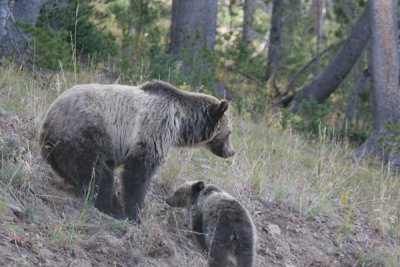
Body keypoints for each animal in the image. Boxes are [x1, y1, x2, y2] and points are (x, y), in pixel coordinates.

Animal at [39, 80, 234, 223]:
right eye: (229, 133)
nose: (231, 152)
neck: (182, 124)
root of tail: (48, 123)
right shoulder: (155, 128)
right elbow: (138, 174)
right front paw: (135, 213)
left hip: (61, 150)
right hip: (90, 133)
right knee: (98, 171)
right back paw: (110, 208)